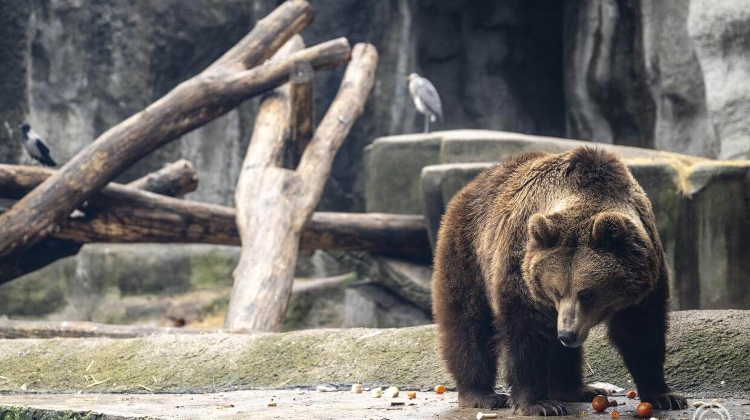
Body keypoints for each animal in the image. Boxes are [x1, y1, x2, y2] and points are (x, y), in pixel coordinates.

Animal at [431, 147, 687, 416]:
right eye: (555, 291)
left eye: (587, 293)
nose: (566, 334)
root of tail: (473, 183)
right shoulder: (521, 263)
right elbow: (526, 330)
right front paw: (539, 403)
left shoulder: (646, 274)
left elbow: (642, 330)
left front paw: (664, 395)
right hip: (467, 251)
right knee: (468, 322)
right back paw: (481, 393)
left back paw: (579, 389)